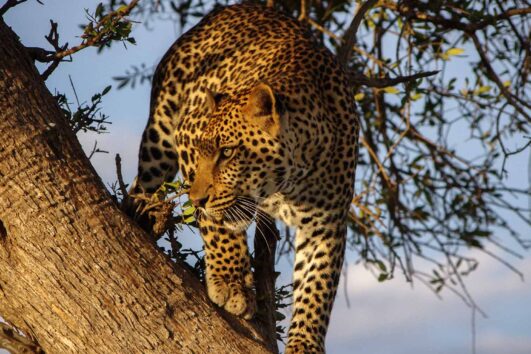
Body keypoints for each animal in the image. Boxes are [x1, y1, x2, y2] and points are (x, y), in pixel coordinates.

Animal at [132, 3, 360, 354]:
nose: (196, 199)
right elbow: (217, 226)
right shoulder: (187, 135)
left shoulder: (328, 222)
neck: (288, 181)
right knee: (143, 185)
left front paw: (305, 342)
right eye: (204, 151)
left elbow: (317, 285)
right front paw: (231, 283)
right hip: (160, 137)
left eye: (227, 152)